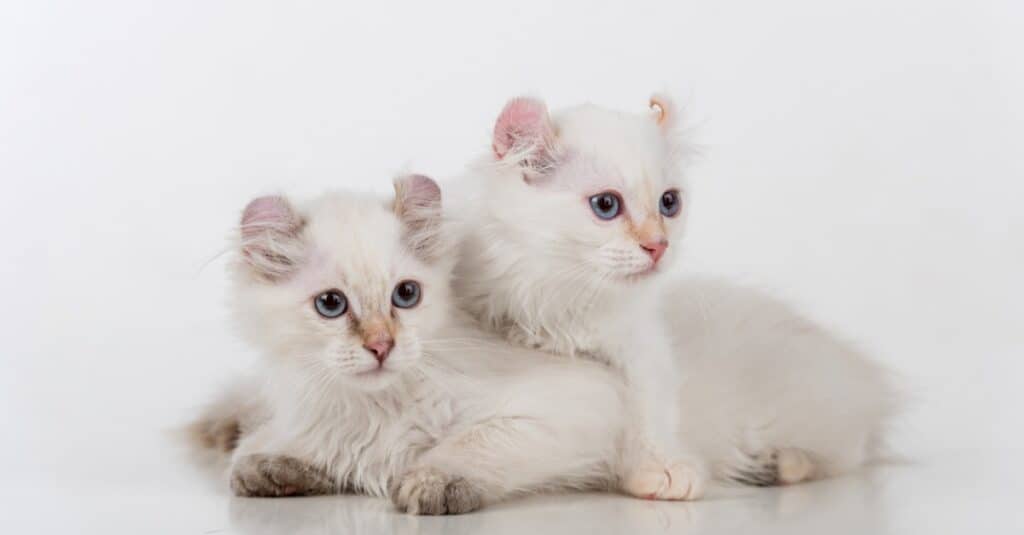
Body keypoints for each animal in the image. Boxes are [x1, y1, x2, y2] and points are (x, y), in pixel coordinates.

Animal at [191, 177, 638, 514]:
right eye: (331, 304)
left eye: (406, 295)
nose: (381, 346)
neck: (375, 408)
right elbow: (270, 452)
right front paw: (274, 466)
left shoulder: (576, 398)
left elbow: (477, 440)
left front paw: (432, 480)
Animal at [452, 94, 901, 491]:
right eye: (605, 205)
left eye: (669, 203)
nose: (658, 246)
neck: (562, 296)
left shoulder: (641, 350)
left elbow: (649, 412)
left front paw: (662, 471)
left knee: (848, 452)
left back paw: (777, 465)